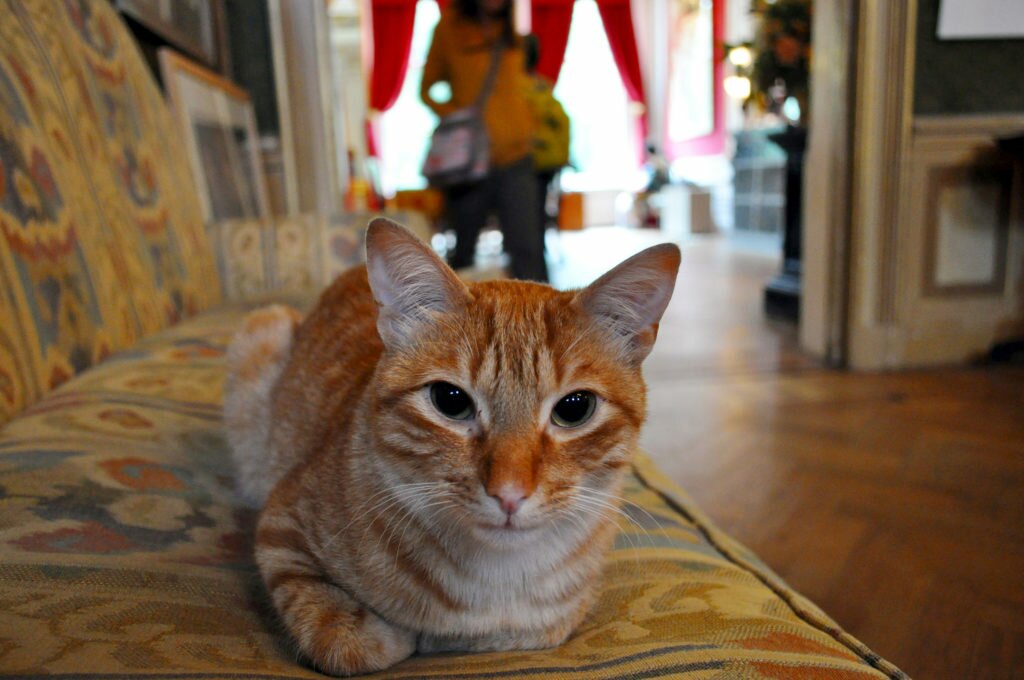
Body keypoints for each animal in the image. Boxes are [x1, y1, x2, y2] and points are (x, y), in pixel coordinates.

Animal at [228, 219, 684, 675]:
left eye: (575, 408)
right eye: (450, 400)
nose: (509, 494)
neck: (498, 581)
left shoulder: (552, 621)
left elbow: (527, 630)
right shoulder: (282, 525)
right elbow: (339, 633)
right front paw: (383, 634)